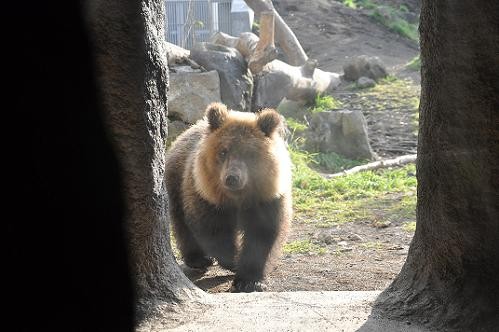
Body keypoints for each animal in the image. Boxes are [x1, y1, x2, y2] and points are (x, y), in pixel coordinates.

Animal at [166, 102, 292, 292]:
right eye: (223, 152)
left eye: (250, 153)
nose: (232, 178)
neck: (238, 198)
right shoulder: (207, 196)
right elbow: (213, 230)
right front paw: (233, 261)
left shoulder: (267, 198)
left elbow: (263, 234)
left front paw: (249, 281)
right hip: (177, 181)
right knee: (181, 223)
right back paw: (199, 259)